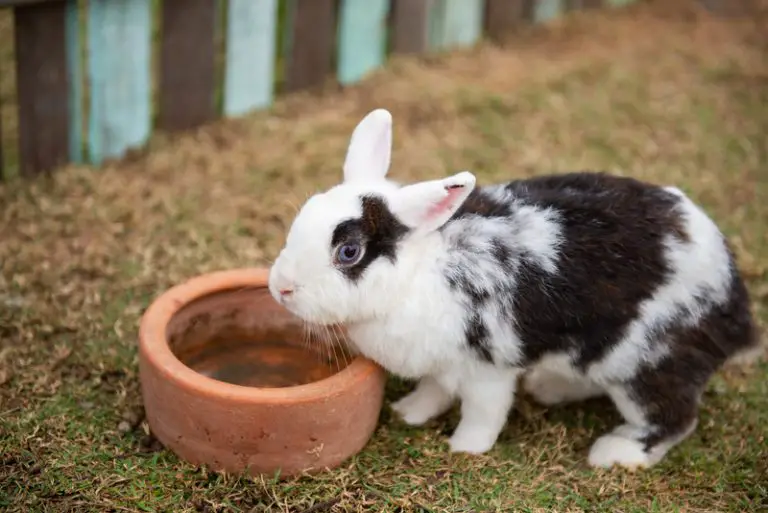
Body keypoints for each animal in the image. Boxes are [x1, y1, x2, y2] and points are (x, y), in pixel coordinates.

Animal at [268, 108, 759, 469]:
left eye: (349, 252)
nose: (281, 289)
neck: (419, 273)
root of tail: (735, 304)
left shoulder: (487, 368)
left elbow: (483, 412)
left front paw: (464, 448)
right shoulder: (440, 364)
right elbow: (433, 391)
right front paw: (409, 413)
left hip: (646, 364)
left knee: (674, 418)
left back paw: (614, 453)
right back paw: (550, 389)